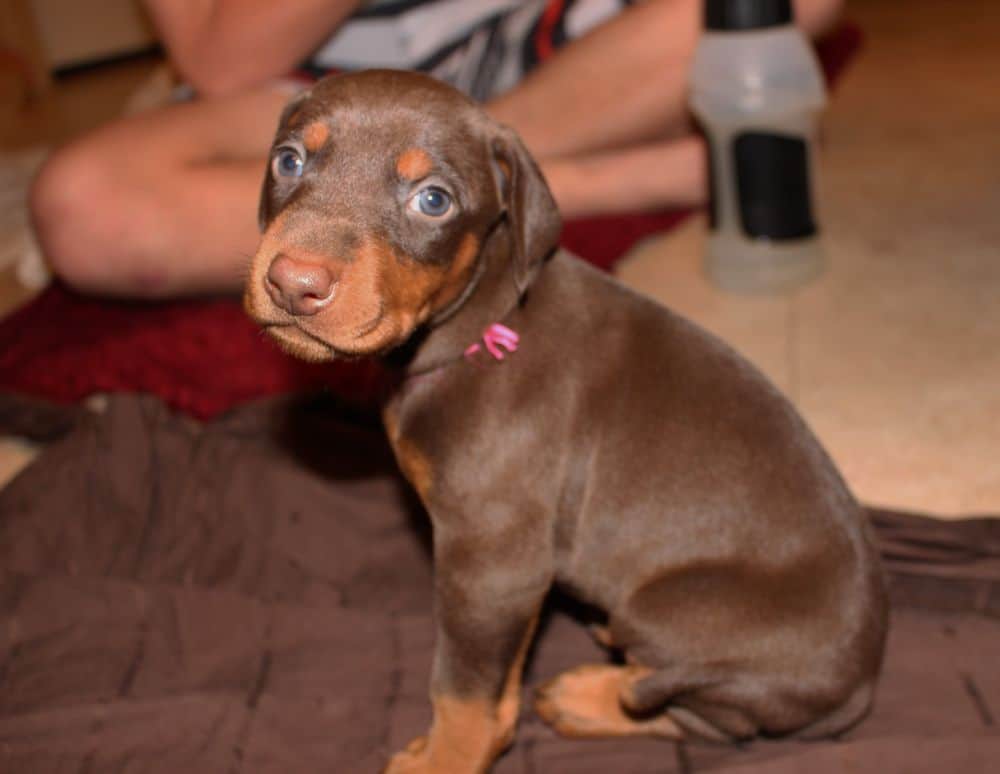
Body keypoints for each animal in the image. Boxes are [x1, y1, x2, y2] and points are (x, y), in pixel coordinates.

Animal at [246, 69, 888, 772]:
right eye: (288, 161)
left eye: (433, 200)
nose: (294, 282)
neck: (483, 328)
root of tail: (861, 685)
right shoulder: (509, 579)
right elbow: (498, 683)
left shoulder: (491, 561)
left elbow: (461, 689)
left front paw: (446, 759)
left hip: (665, 609)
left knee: (707, 720)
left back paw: (591, 698)